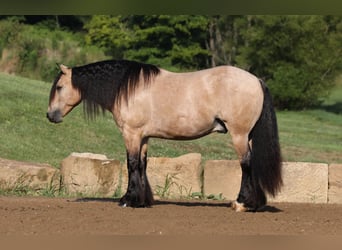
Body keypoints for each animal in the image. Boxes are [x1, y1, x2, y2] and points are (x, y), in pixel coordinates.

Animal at [46, 59, 282, 212]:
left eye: (59, 87)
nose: (50, 115)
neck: (127, 89)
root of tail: (256, 80)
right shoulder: (143, 137)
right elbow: (142, 164)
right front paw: (141, 200)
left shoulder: (131, 134)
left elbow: (131, 164)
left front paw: (127, 200)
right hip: (247, 135)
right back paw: (255, 203)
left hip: (239, 135)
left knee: (246, 164)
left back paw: (241, 203)